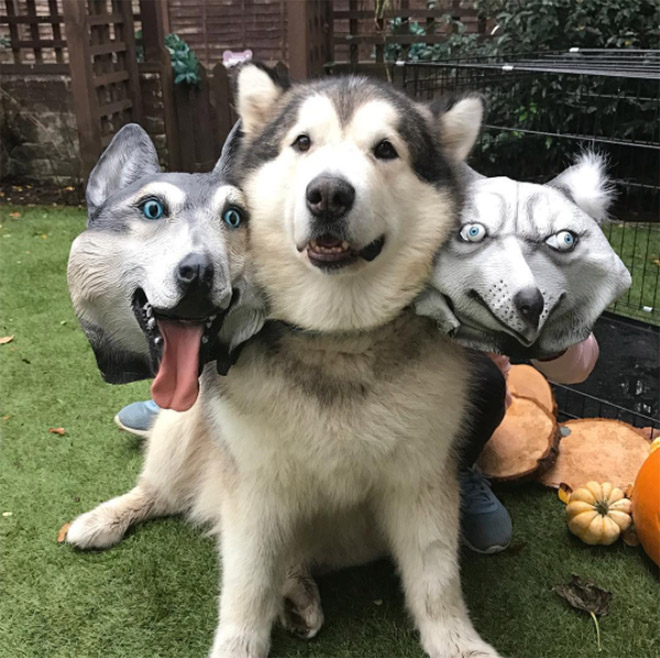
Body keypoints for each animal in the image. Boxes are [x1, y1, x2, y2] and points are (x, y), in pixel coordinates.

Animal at [68, 65, 500, 656]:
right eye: (302, 142)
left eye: (386, 149)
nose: (329, 194)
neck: (338, 336)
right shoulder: (255, 490)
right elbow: (248, 585)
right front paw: (237, 645)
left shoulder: (422, 481)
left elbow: (436, 579)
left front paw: (457, 641)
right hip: (186, 425)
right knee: (159, 492)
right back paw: (105, 518)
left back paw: (298, 591)